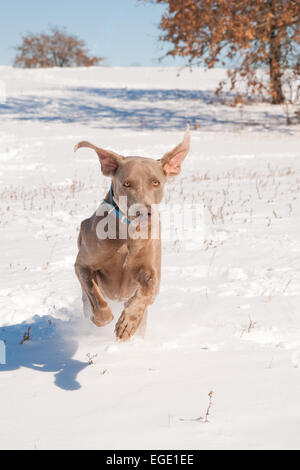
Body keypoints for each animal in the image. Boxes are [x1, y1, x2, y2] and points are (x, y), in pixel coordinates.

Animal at [74, 127, 190, 342]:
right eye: (126, 184)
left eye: (155, 182)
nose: (143, 212)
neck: (128, 235)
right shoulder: (83, 265)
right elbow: (94, 293)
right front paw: (102, 318)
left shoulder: (152, 273)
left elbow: (146, 292)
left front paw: (127, 323)